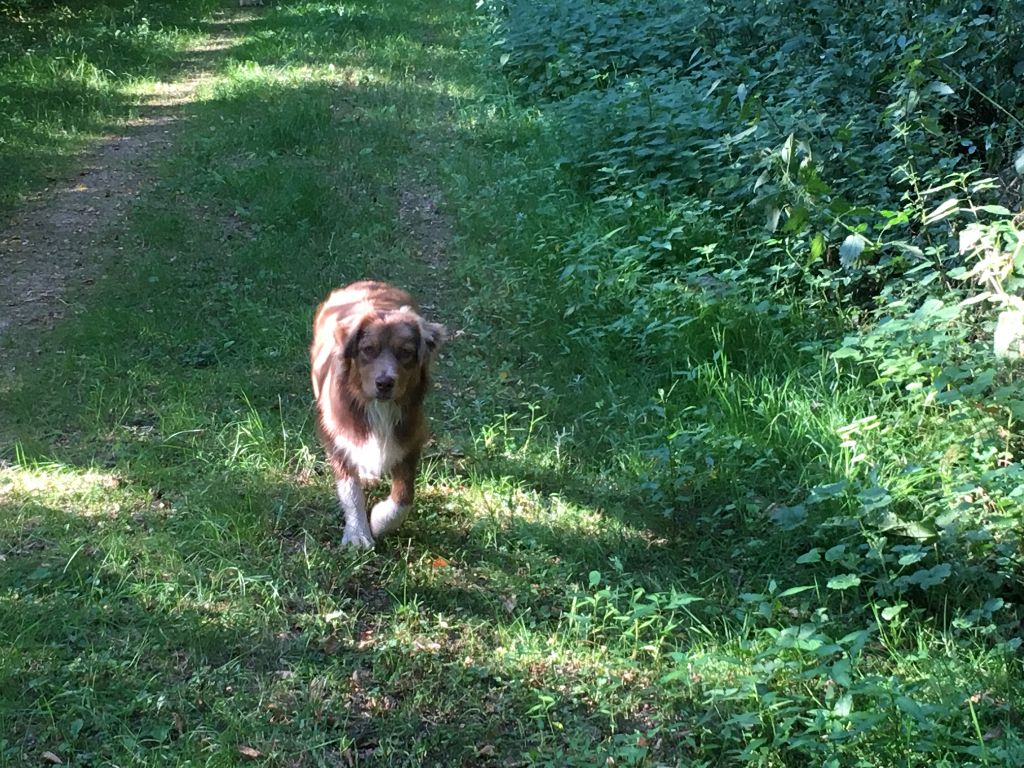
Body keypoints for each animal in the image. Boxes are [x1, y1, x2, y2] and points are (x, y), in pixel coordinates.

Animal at [307, 280, 444, 548]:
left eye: (406, 352)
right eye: (368, 349)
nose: (384, 383)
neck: (376, 407)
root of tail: (367, 282)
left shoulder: (410, 437)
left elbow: (404, 496)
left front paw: (380, 521)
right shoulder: (335, 436)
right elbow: (351, 491)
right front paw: (358, 533)